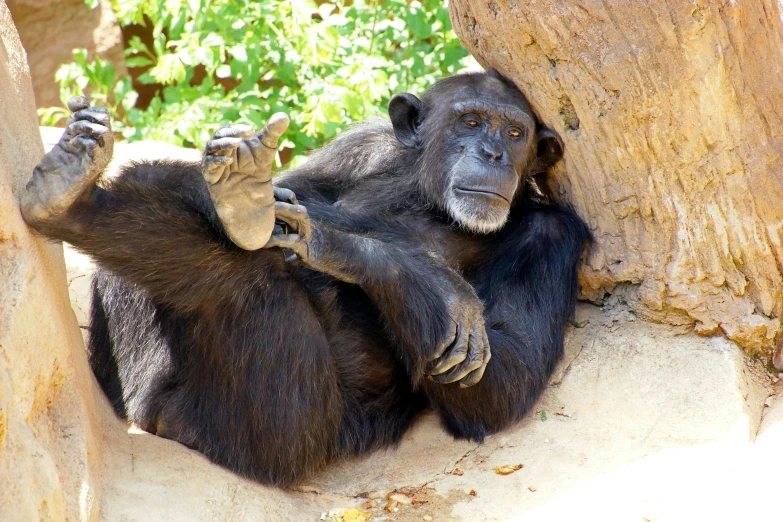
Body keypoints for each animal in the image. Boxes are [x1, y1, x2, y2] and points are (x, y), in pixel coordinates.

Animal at [19, 69, 588, 484]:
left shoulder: (553, 238)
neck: (433, 203)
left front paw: (350, 248)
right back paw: (72, 193)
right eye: (469, 121)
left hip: (281, 434)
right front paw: (250, 185)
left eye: (514, 132)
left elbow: (504, 381)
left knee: (244, 277)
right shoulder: (362, 145)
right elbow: (298, 187)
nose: (494, 152)